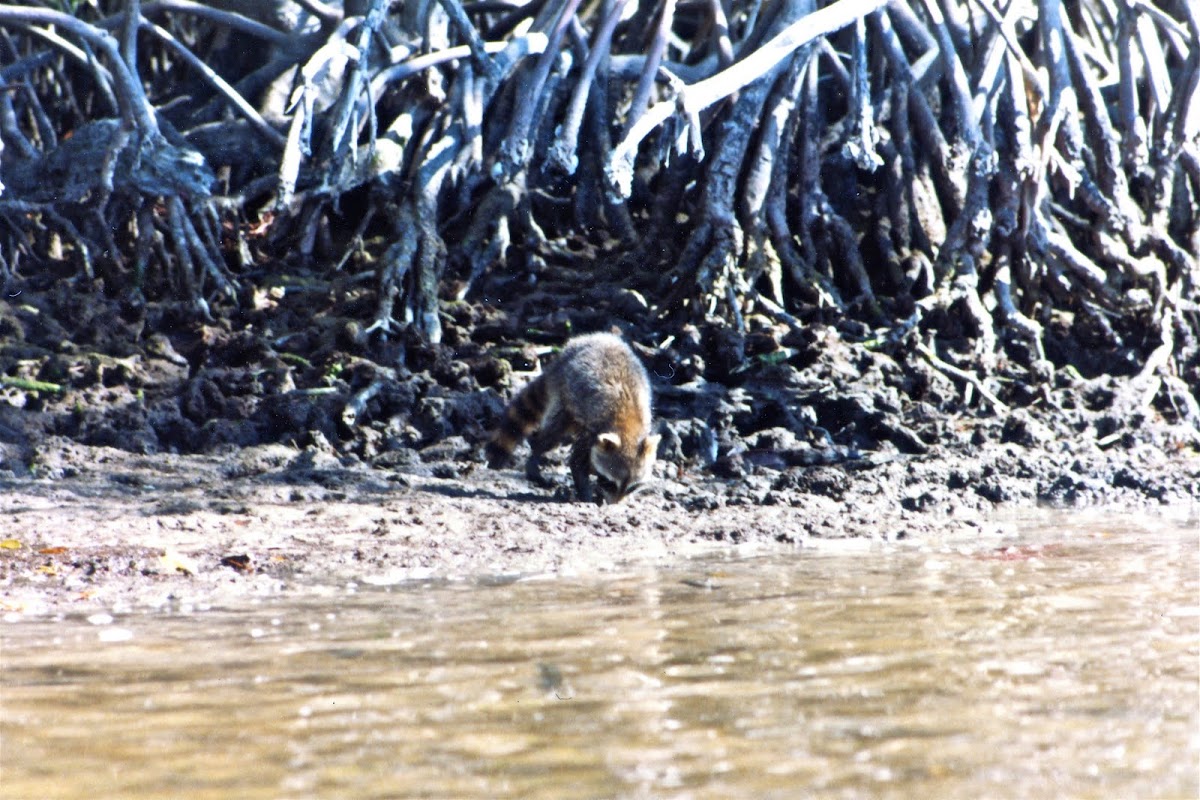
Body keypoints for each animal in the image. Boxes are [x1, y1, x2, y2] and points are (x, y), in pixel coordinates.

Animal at [485, 332, 660, 504]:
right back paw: (534, 462)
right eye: (610, 482)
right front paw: (587, 494)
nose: (614, 505)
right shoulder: (593, 429)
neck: (628, 428)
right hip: (564, 396)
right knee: (551, 436)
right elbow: (576, 463)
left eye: (632, 487)